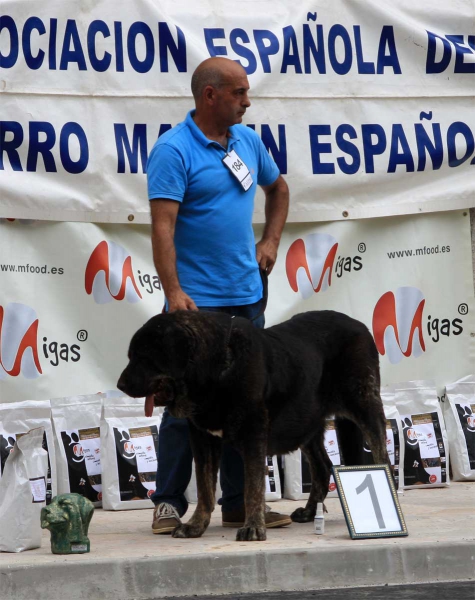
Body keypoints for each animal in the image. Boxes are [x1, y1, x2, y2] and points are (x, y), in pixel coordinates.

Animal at [117, 312, 388, 540]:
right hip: (305, 422)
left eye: (143, 357)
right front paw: (196, 525)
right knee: (322, 467)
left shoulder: (254, 434)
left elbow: (252, 487)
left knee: (381, 455)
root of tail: (360, 325)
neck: (216, 368)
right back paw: (310, 512)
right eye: (131, 356)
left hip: (364, 404)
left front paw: (253, 527)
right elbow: (205, 489)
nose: (120, 385)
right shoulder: (203, 439)